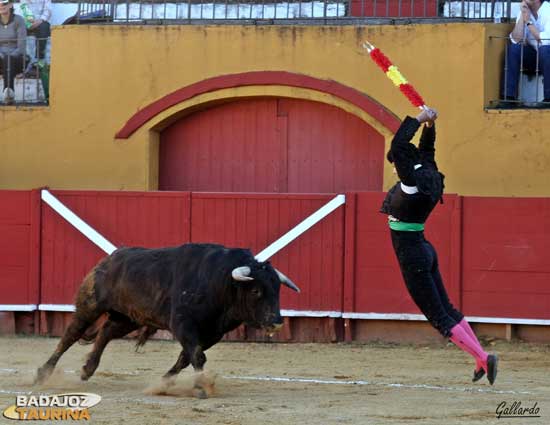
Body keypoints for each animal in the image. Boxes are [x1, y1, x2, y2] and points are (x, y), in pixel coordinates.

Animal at [36, 242, 300, 384]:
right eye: (256, 290)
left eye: (277, 289)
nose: (277, 322)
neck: (219, 281)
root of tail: (107, 261)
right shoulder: (182, 323)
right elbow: (196, 356)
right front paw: (201, 387)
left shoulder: (211, 333)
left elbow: (187, 357)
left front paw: (165, 382)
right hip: (91, 305)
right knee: (70, 335)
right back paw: (43, 373)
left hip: (130, 317)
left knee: (107, 332)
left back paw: (87, 369)